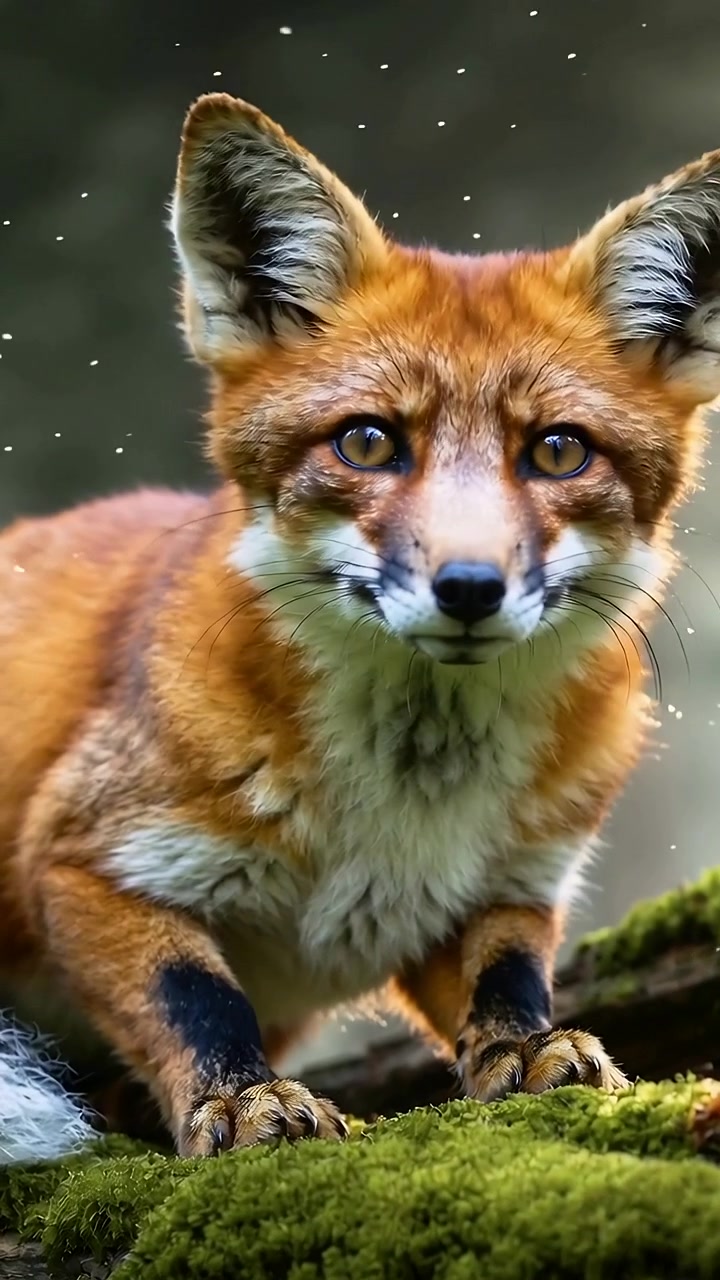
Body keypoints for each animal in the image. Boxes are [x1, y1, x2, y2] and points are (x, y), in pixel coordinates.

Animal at [1, 91, 719, 1163]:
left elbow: (508, 979)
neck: (400, 813)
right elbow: (195, 998)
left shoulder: (510, 886)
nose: (469, 586)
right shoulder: (81, 859)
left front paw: (527, 1051)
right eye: (369, 442)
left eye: (558, 452)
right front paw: (242, 1101)